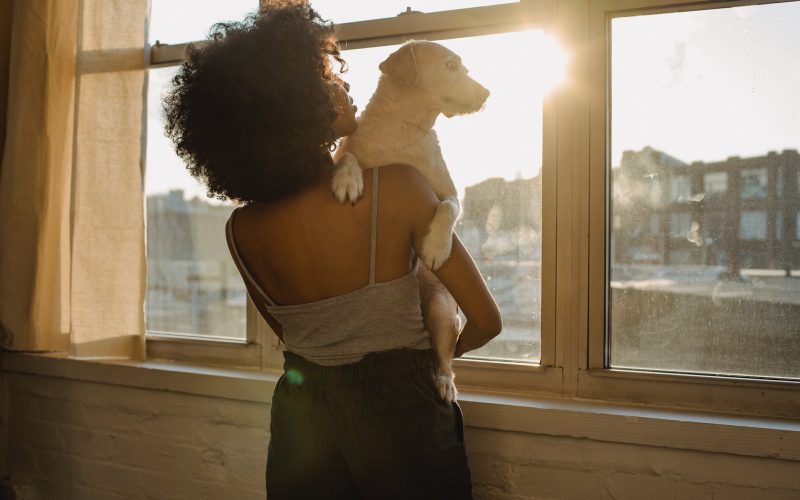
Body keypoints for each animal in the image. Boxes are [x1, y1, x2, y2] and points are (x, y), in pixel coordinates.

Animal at [330, 41, 488, 404]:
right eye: (451, 65)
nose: (487, 92)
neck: (404, 126)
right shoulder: (348, 150)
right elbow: (348, 156)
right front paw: (347, 179)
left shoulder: (449, 193)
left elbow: (448, 208)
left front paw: (436, 248)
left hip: (442, 314)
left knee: (445, 361)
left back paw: (445, 383)